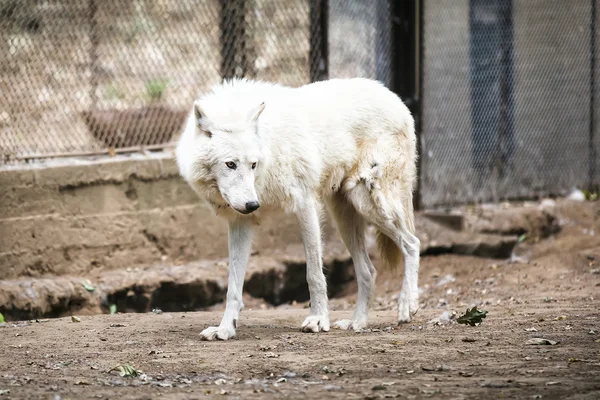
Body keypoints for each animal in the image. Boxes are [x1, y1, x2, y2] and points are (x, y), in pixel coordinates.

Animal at [178, 77, 420, 340]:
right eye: (230, 164)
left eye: (253, 164)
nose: (253, 204)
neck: (269, 145)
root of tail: (397, 100)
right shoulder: (240, 221)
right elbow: (233, 286)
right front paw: (225, 329)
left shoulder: (305, 204)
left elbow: (314, 274)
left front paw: (318, 320)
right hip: (344, 216)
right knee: (368, 271)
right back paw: (357, 323)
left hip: (368, 202)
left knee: (412, 243)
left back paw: (407, 305)